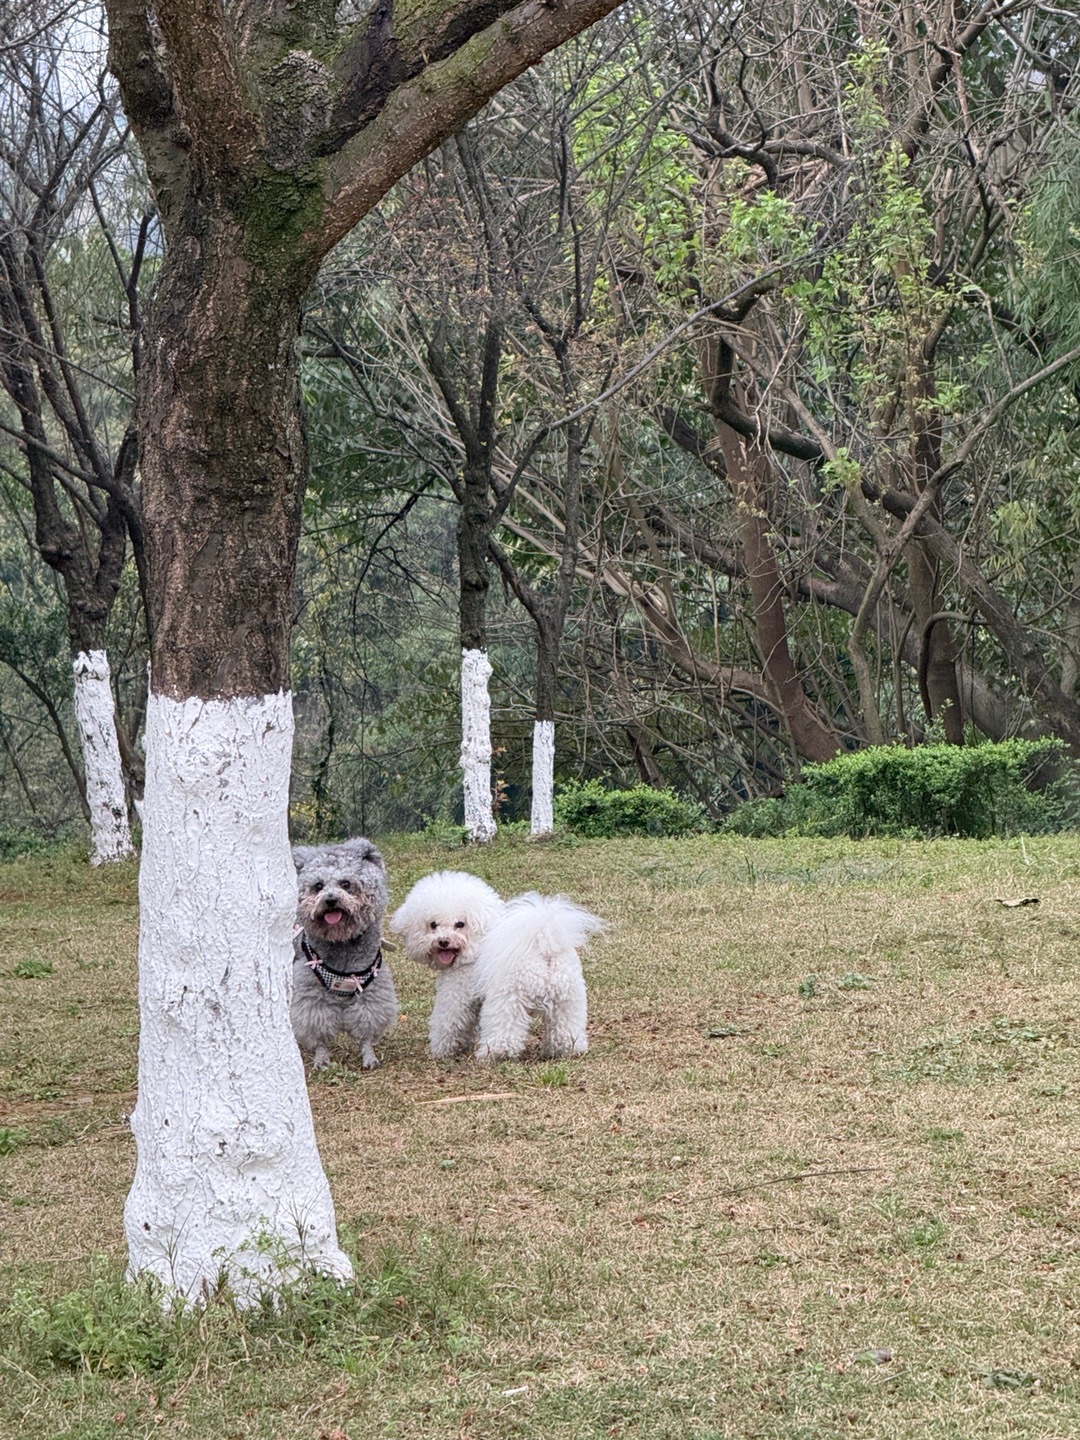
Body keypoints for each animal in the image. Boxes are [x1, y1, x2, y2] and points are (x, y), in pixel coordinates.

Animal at [290, 837, 398, 1070]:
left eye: (346, 884)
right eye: (318, 886)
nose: (330, 899)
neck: (342, 942)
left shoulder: (371, 990)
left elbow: (367, 1028)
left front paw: (369, 1056)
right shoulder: (312, 994)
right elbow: (317, 1029)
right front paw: (321, 1058)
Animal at [390, 870, 604, 1062]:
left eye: (460, 924)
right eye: (433, 925)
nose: (443, 941)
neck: (475, 945)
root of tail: (544, 946)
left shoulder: (456, 995)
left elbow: (448, 1024)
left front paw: (442, 1051)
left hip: (507, 1000)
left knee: (505, 1034)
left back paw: (494, 1054)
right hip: (568, 998)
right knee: (566, 1030)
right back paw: (564, 1050)